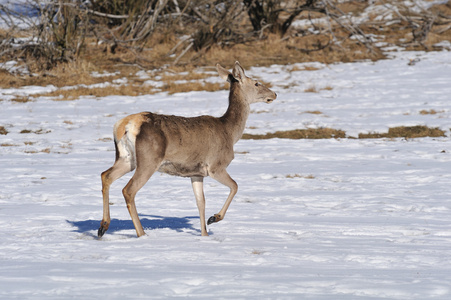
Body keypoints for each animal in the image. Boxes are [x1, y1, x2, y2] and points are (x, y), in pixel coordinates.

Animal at [97, 61, 278, 239]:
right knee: (128, 190)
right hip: (149, 159)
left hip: (127, 158)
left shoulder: (196, 173)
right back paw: (142, 234)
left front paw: (204, 234)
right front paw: (214, 218)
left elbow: (201, 202)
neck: (230, 132)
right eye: (256, 83)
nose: (275, 94)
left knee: (106, 175)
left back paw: (103, 226)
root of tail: (124, 125)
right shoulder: (216, 166)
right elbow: (235, 186)